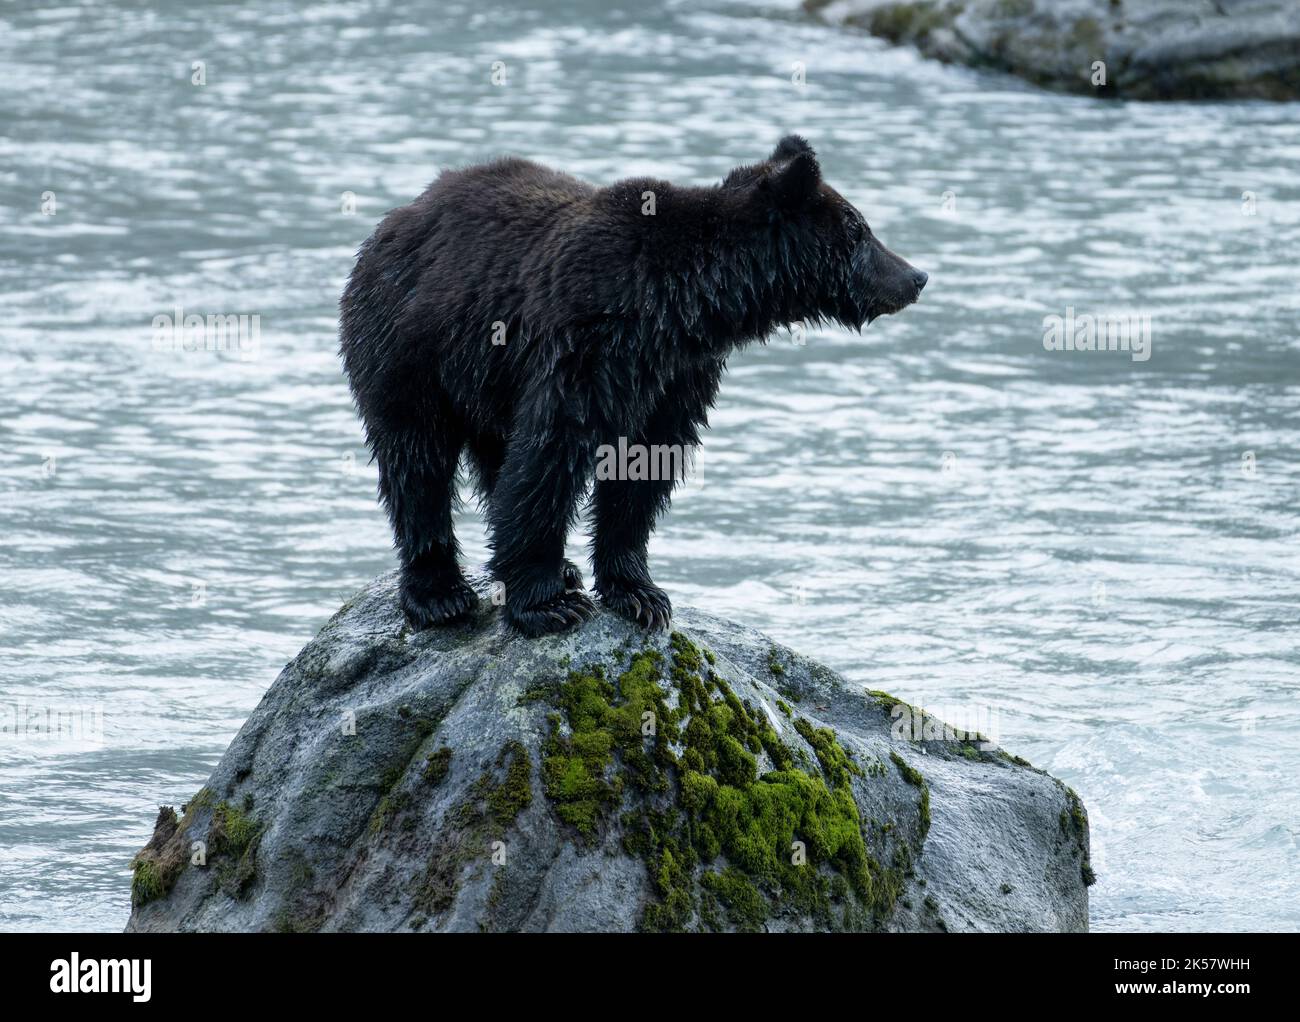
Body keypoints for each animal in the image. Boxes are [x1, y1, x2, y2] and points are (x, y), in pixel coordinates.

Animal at [339, 135, 927, 637]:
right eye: (859, 230)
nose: (916, 276)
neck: (682, 307)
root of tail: (398, 217)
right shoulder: (588, 342)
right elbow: (551, 453)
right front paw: (548, 604)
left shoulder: (676, 376)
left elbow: (644, 465)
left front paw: (639, 593)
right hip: (410, 344)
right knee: (417, 457)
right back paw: (439, 593)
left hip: (485, 376)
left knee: (491, 459)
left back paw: (558, 567)